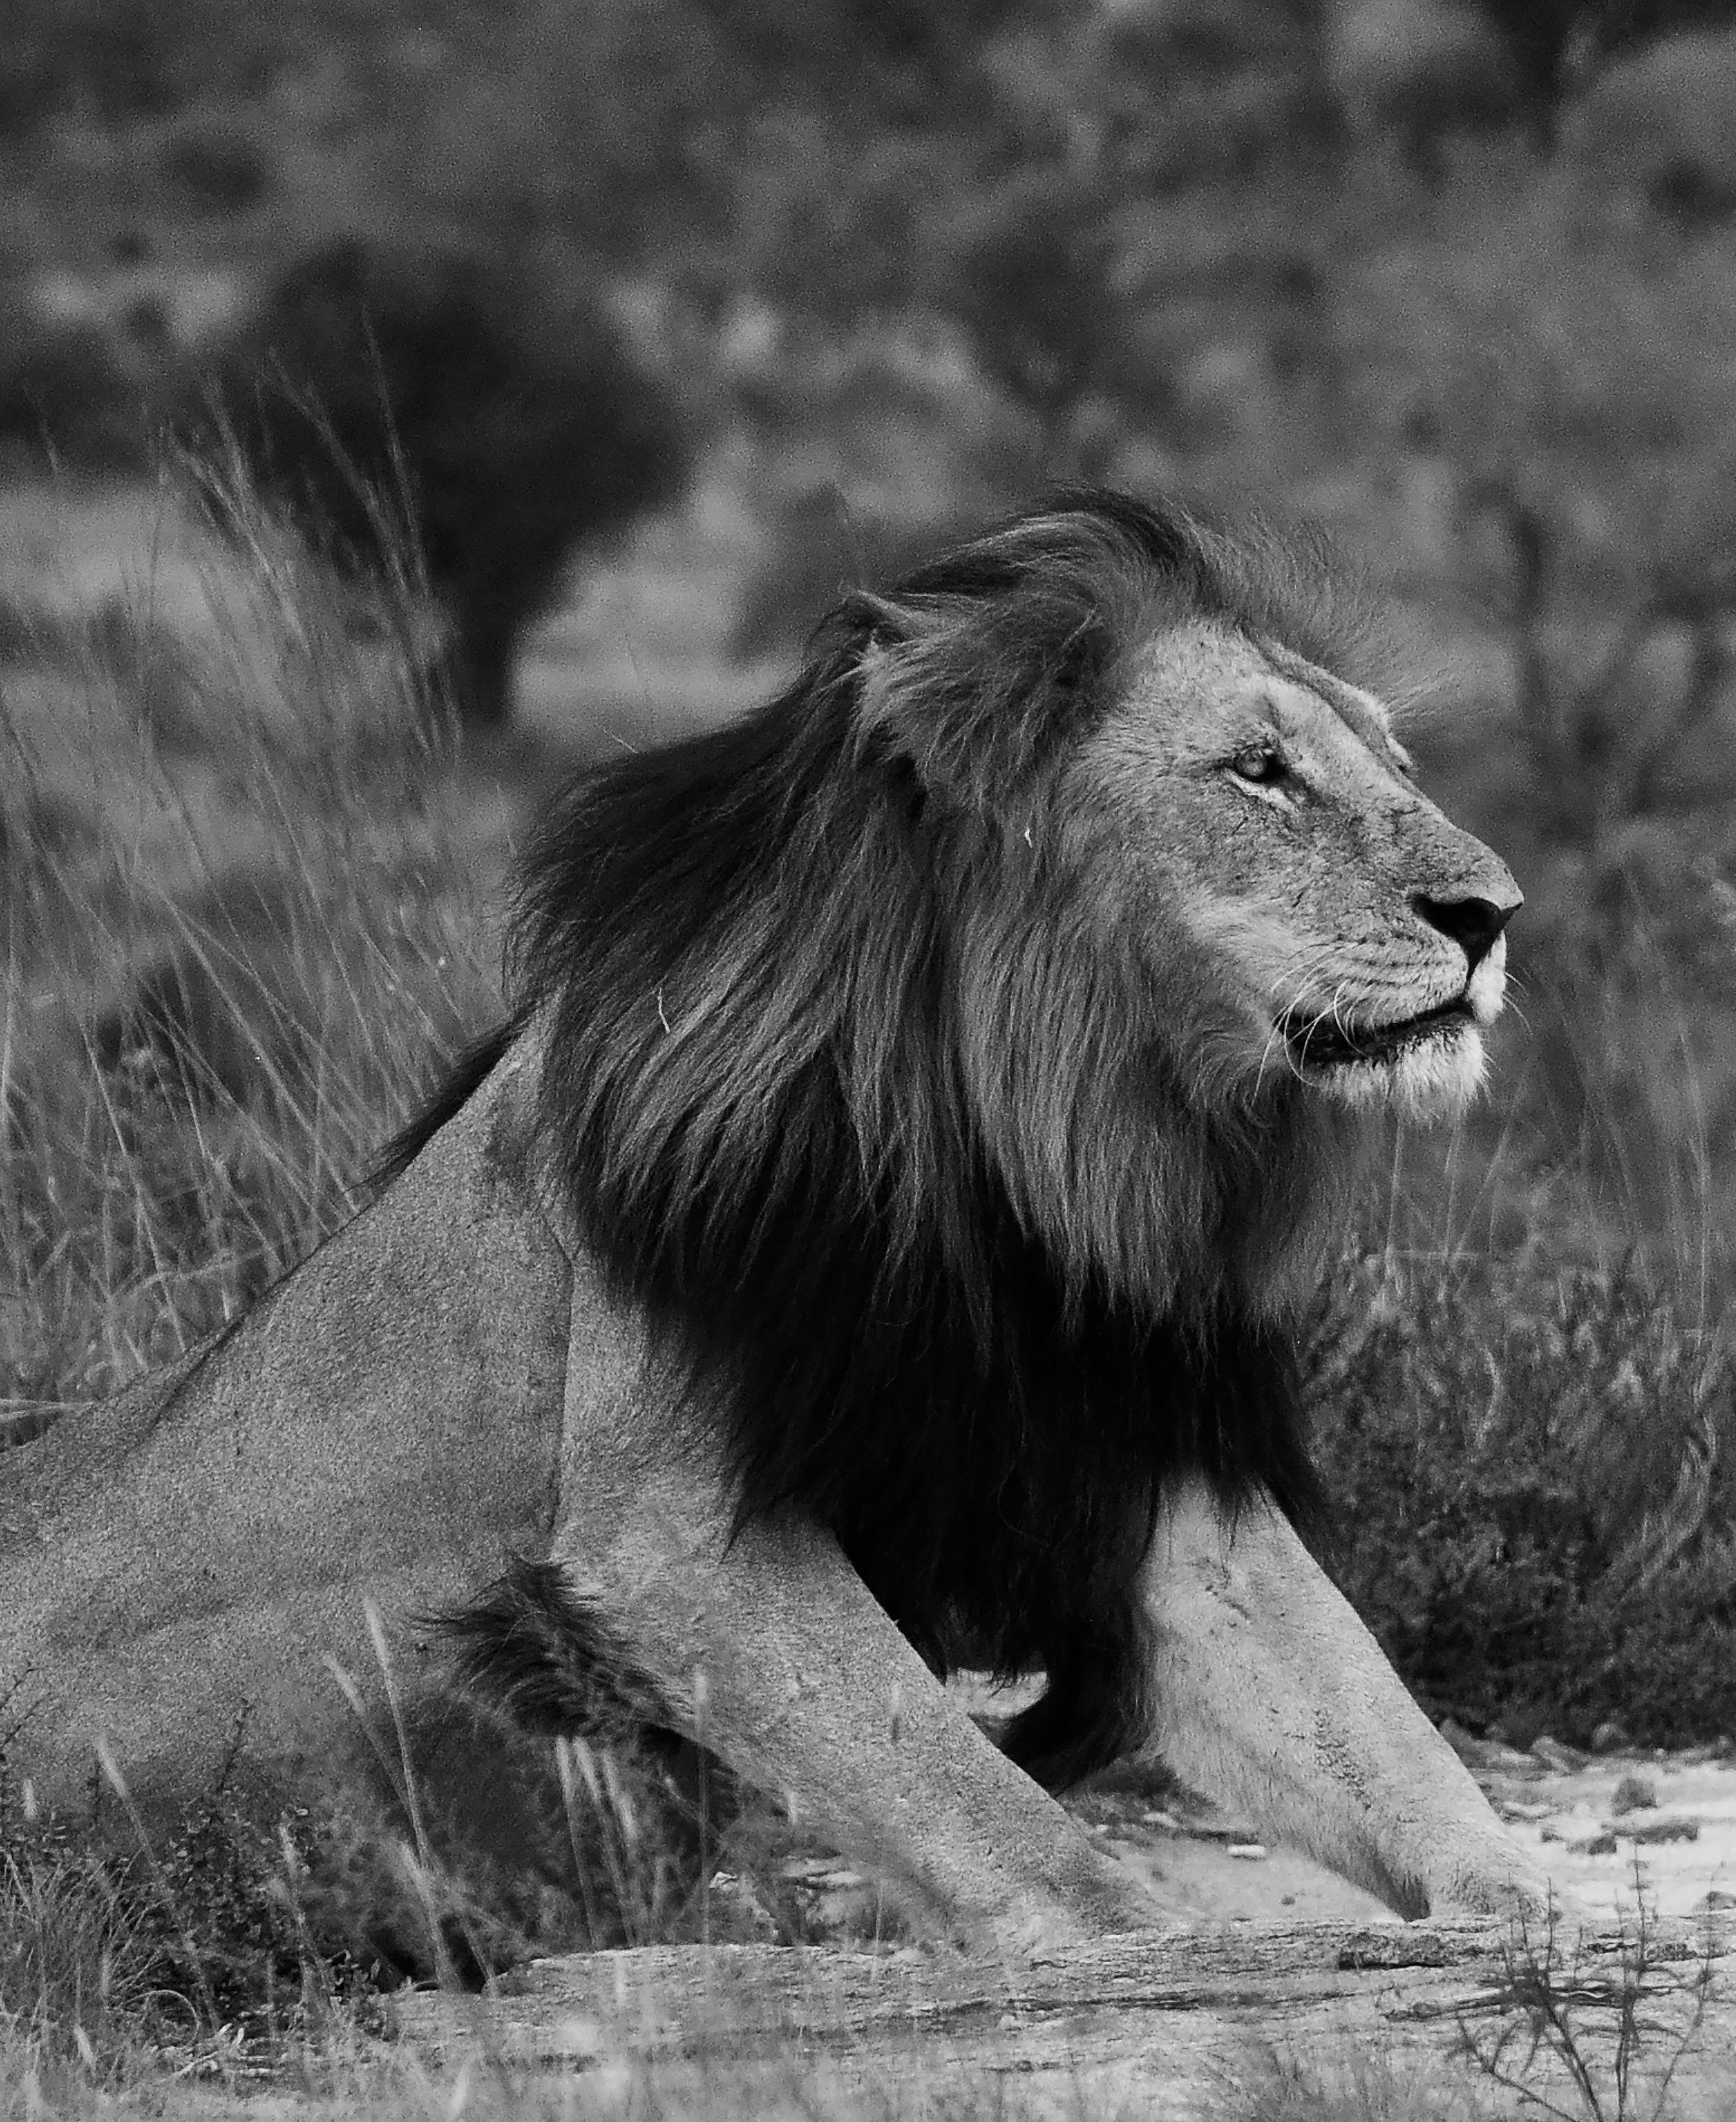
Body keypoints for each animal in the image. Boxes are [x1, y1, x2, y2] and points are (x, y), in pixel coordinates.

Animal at [0, 490, 1551, 1948]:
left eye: (1393, 762)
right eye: (1260, 770)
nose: (1493, 913)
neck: (1023, 1170)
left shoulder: (1135, 1463)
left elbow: (1383, 1725)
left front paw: (1529, 1916)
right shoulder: (672, 1536)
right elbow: (989, 1809)